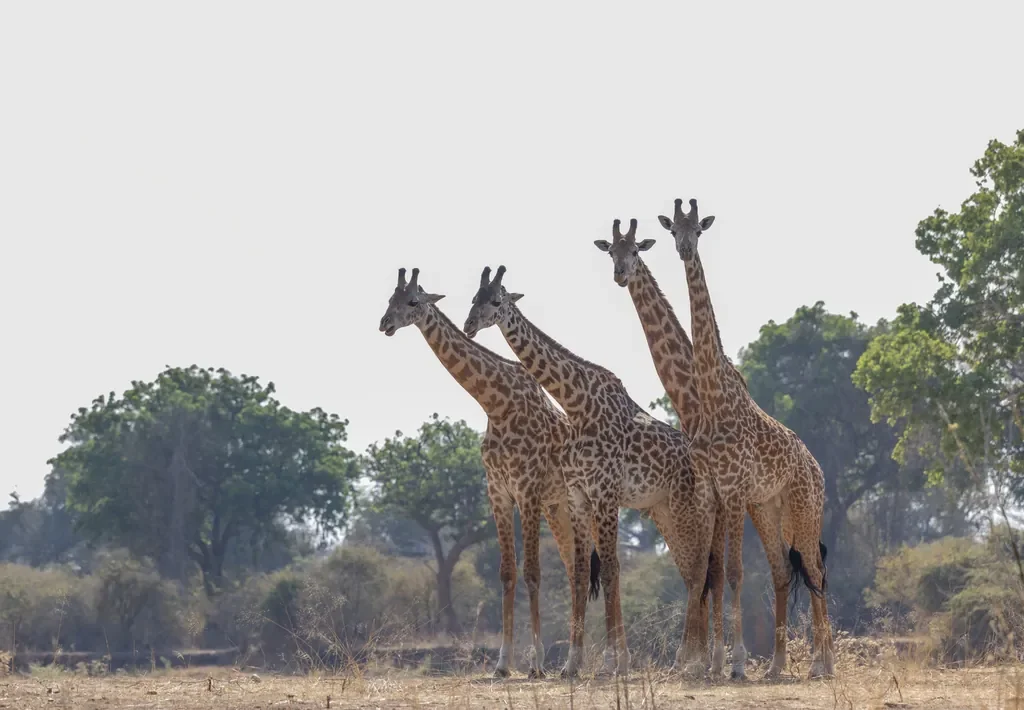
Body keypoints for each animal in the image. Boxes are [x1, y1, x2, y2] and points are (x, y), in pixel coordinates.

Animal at [378, 267, 598, 678]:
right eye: (389, 299)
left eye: (412, 301)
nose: (384, 324)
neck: (495, 404)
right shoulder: (497, 491)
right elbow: (507, 573)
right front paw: (502, 664)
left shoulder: (526, 489)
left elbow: (532, 572)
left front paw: (536, 664)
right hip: (558, 508)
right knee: (573, 569)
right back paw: (577, 660)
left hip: (585, 505)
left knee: (588, 569)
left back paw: (579, 661)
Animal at [462, 265, 720, 678]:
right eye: (474, 297)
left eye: (497, 300)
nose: (469, 324)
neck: (575, 402)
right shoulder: (578, 496)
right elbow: (582, 572)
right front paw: (572, 663)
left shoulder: (605, 493)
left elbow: (612, 568)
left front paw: (615, 663)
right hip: (665, 511)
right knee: (696, 571)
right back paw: (697, 659)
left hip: (686, 508)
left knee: (699, 570)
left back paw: (690, 661)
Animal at [657, 198, 834, 679]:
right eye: (672, 230)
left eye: (698, 229)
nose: (684, 250)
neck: (713, 398)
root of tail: (817, 467)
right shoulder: (715, 493)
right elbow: (716, 572)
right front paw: (717, 664)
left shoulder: (734, 491)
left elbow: (735, 571)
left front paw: (733, 664)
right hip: (771, 510)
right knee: (784, 570)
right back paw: (778, 666)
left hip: (804, 509)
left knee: (815, 570)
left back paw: (823, 665)